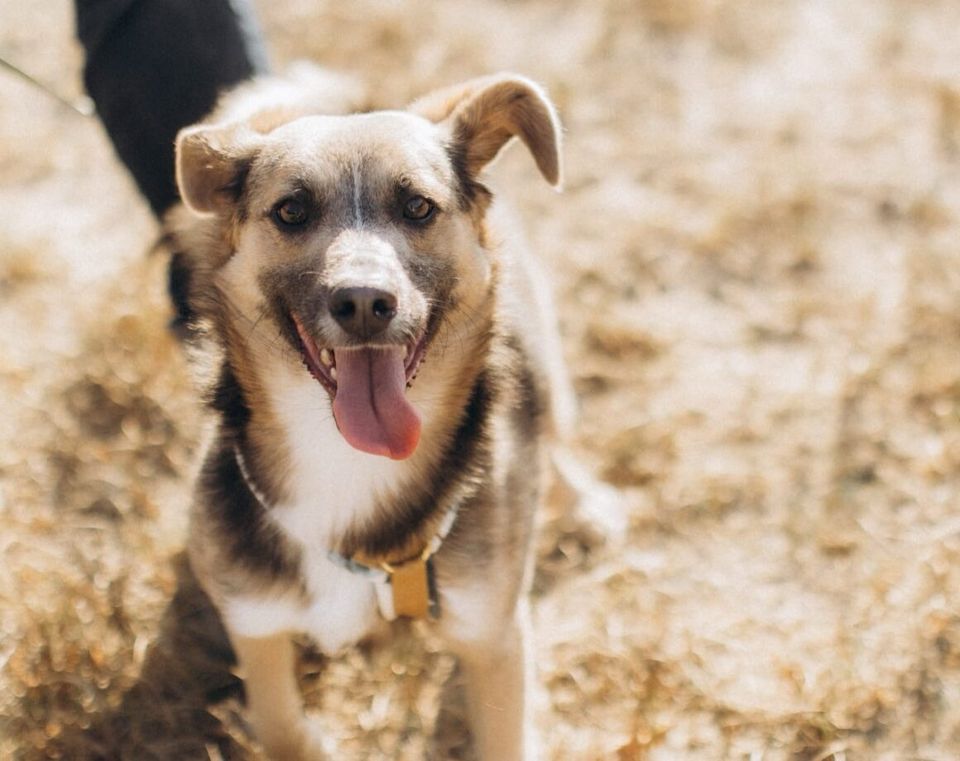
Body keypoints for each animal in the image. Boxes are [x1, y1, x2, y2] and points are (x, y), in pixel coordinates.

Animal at [168, 67, 572, 760]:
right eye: (291, 211)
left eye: (418, 208)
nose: (362, 302)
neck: (346, 463)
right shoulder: (255, 624)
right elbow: (281, 729)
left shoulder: (493, 637)